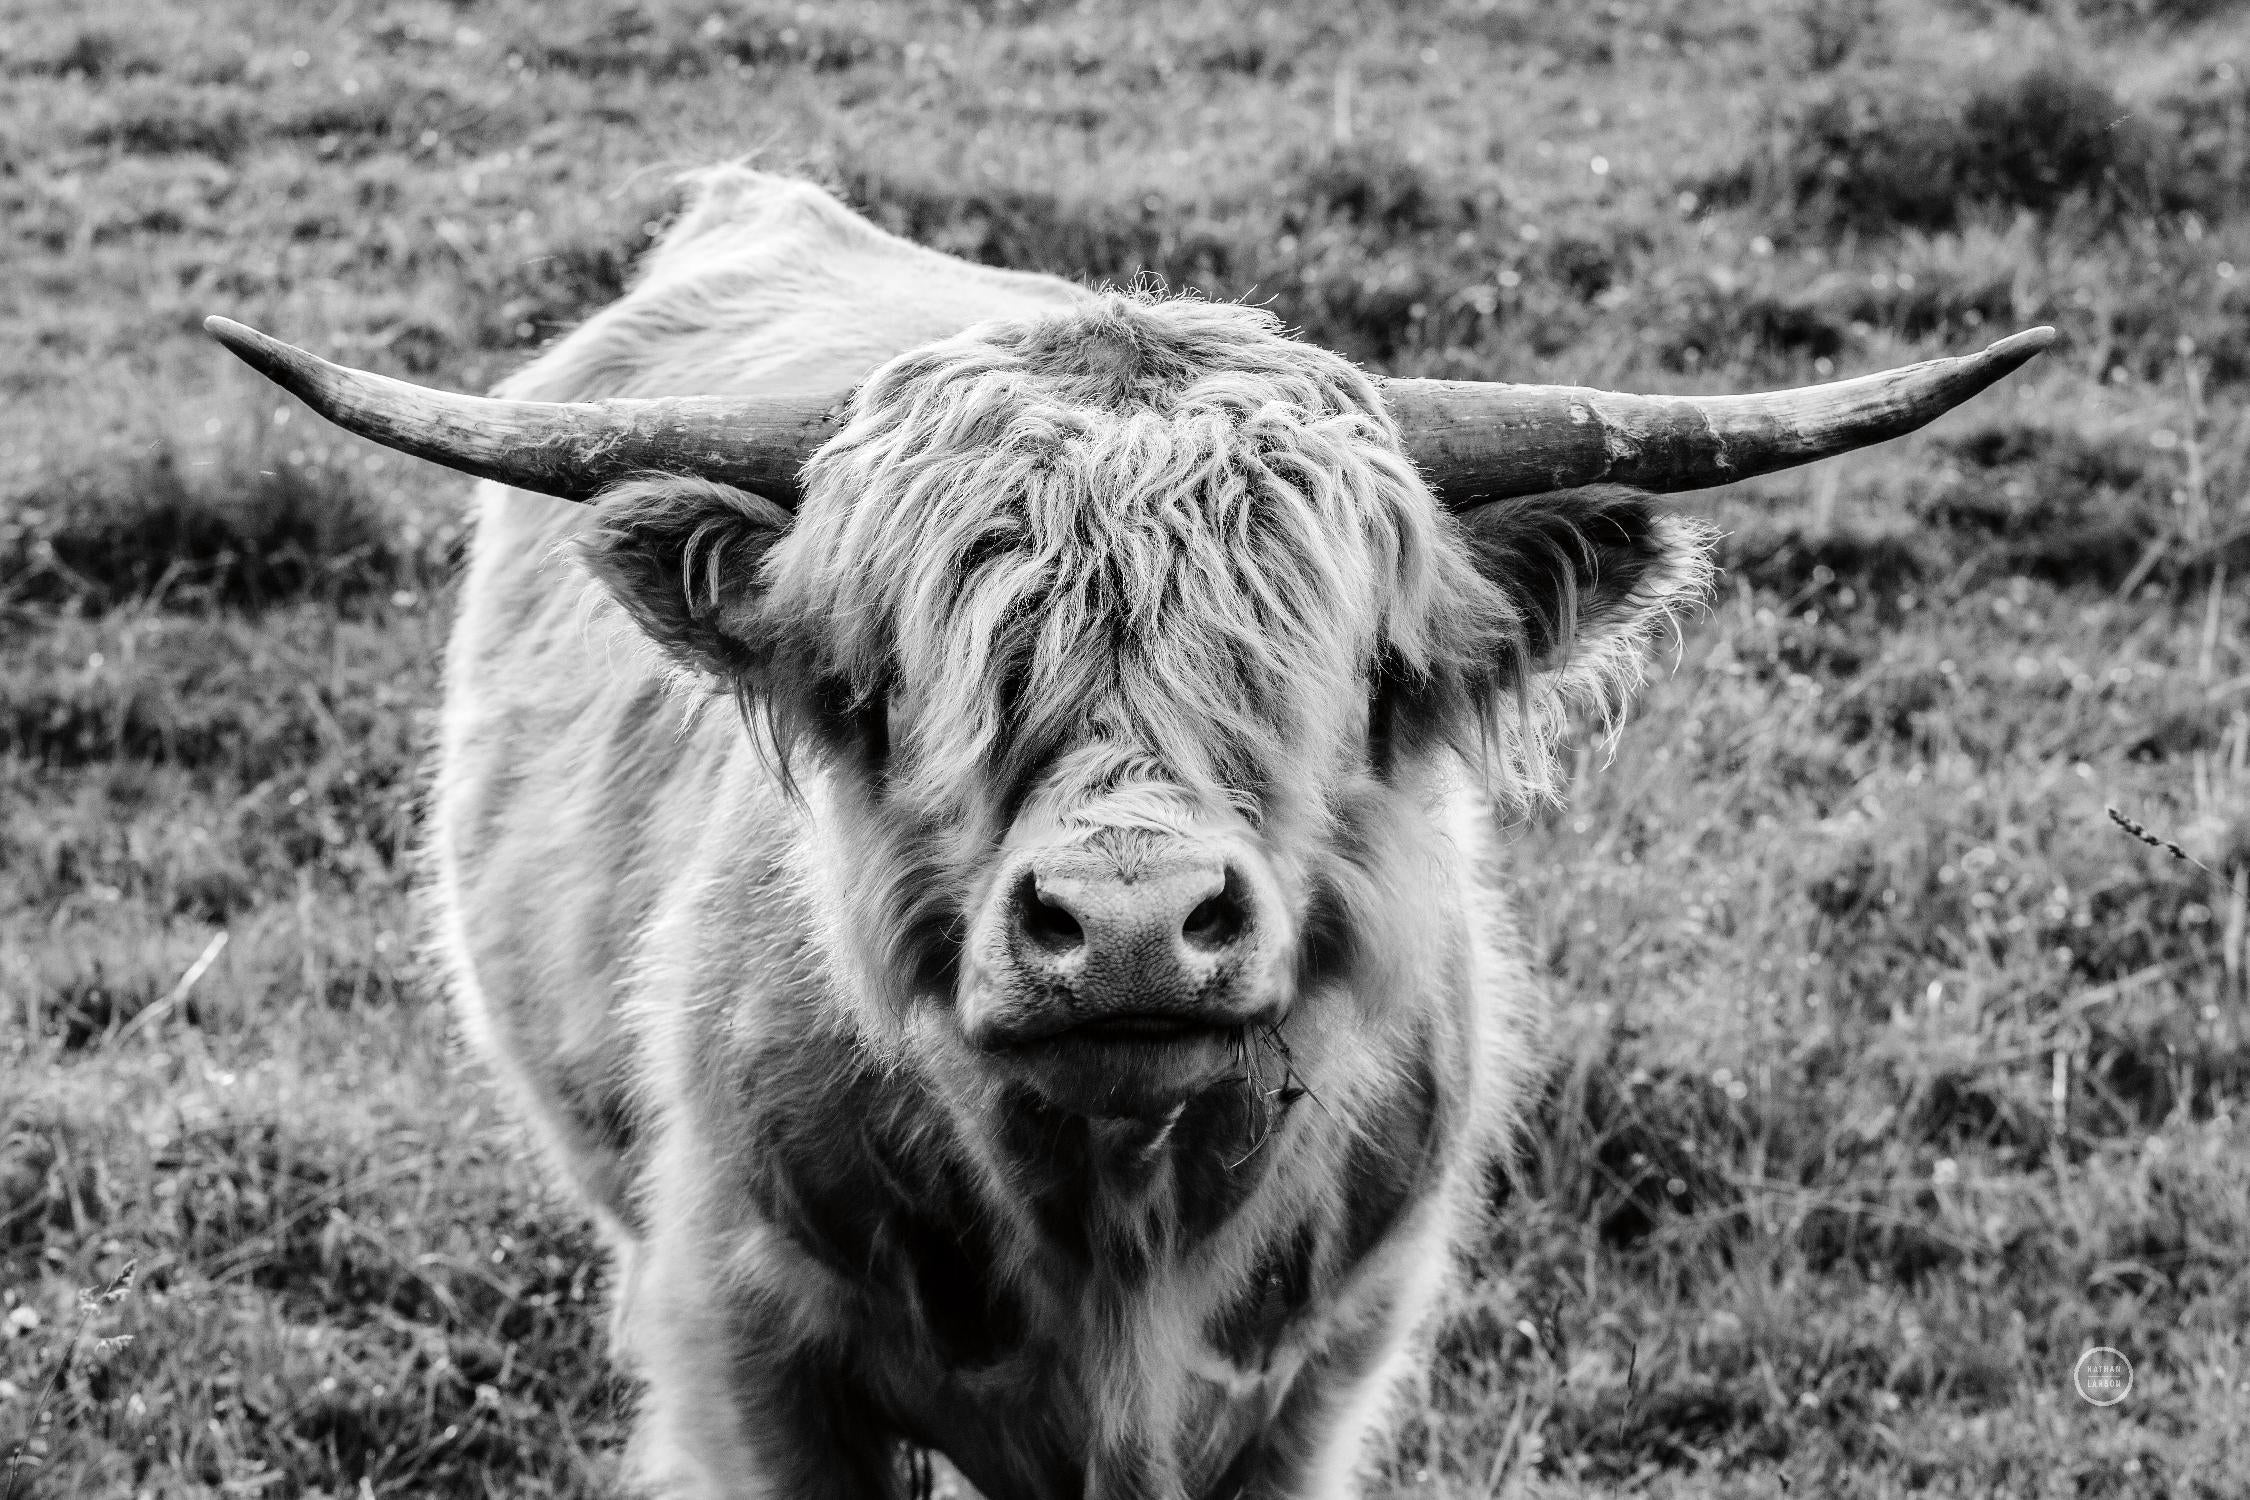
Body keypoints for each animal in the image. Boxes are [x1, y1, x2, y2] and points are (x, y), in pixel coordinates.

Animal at [214, 167, 2061, 1500]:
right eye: (904, 676)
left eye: (1357, 672)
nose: (1124, 923)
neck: (1115, 1236)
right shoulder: (750, 1353)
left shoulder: (1323, 1379)